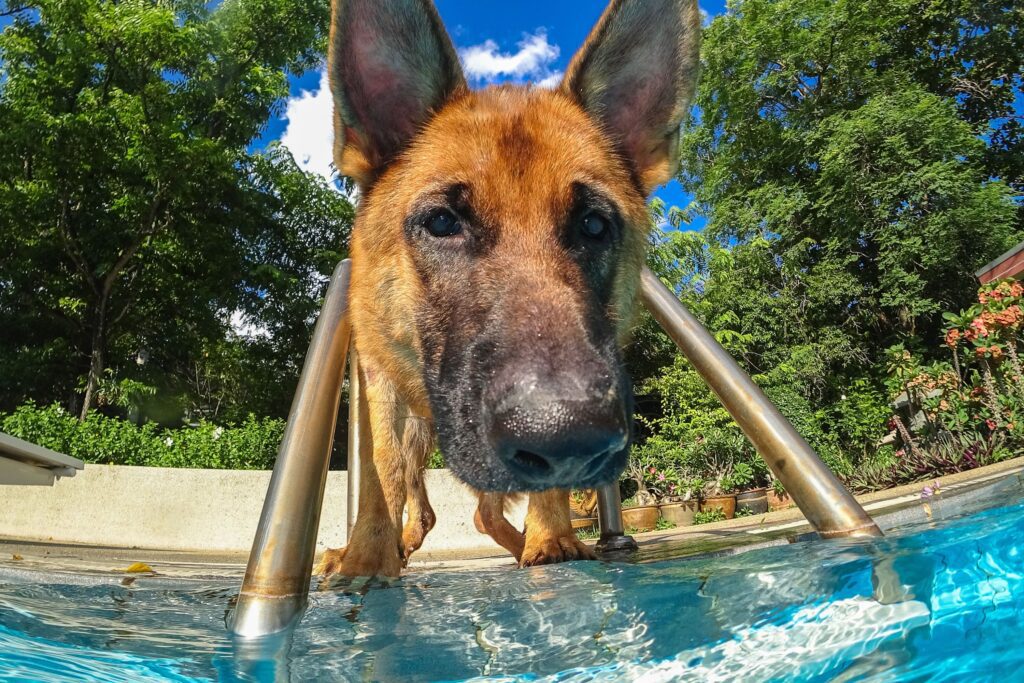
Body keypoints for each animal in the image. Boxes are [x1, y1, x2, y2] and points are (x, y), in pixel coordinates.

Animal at [317, 0, 704, 577]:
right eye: (442, 222)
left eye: (593, 225)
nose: (567, 435)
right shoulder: (380, 383)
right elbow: (380, 470)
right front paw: (366, 556)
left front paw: (550, 538)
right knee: (420, 488)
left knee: (477, 511)